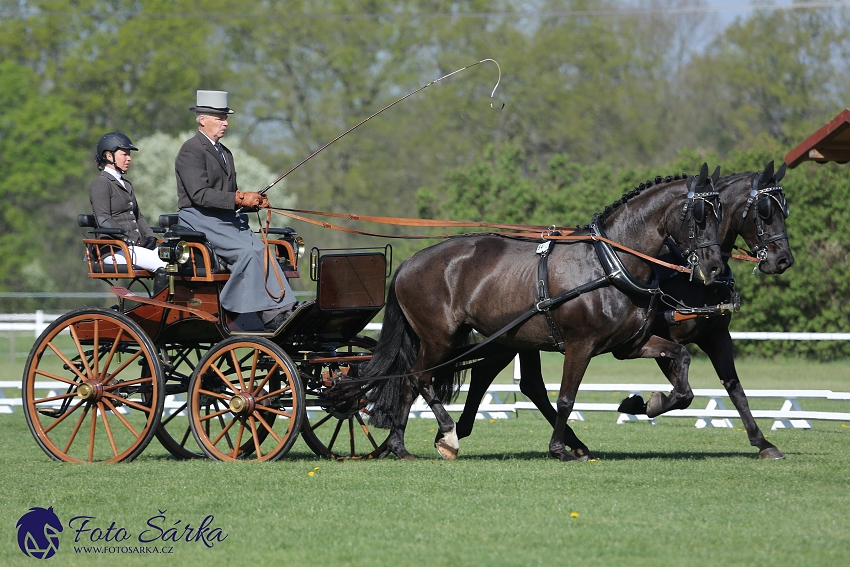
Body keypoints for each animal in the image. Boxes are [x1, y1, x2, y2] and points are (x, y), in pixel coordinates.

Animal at [334, 164, 724, 462]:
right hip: (440, 338)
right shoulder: (580, 345)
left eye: (720, 216)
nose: (715, 269)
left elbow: (682, 364)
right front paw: (559, 449)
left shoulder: (629, 345)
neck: (609, 264)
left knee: (423, 379)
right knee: (417, 378)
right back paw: (437, 437)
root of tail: (409, 263)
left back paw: (406, 443)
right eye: (699, 215)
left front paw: (646, 404)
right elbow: (566, 397)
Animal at [454, 160, 792, 458]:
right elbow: (682, 389)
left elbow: (733, 387)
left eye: (784, 209)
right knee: (498, 375)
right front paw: (643, 404)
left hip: (519, 338)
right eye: (765, 210)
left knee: (513, 380)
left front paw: (763, 443)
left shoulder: (716, 337)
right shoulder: (654, 338)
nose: (783, 260)